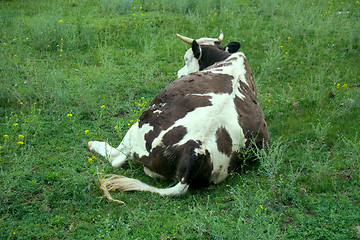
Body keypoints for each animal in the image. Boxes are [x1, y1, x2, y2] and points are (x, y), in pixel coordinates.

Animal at [87, 29, 268, 202]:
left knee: (117, 158)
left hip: (138, 128)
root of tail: (196, 151)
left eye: (187, 59)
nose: (179, 73)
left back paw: (93, 144)